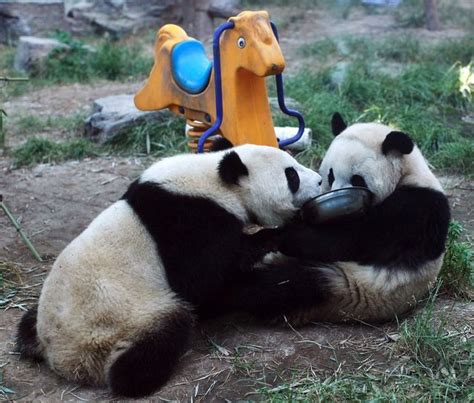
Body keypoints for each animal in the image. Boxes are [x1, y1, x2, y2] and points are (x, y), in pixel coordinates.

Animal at [225, 113, 448, 326]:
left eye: (357, 179)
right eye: (330, 175)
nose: (336, 194)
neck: (407, 172)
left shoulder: (415, 209)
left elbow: (351, 241)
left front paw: (284, 235)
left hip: (351, 287)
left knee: (290, 285)